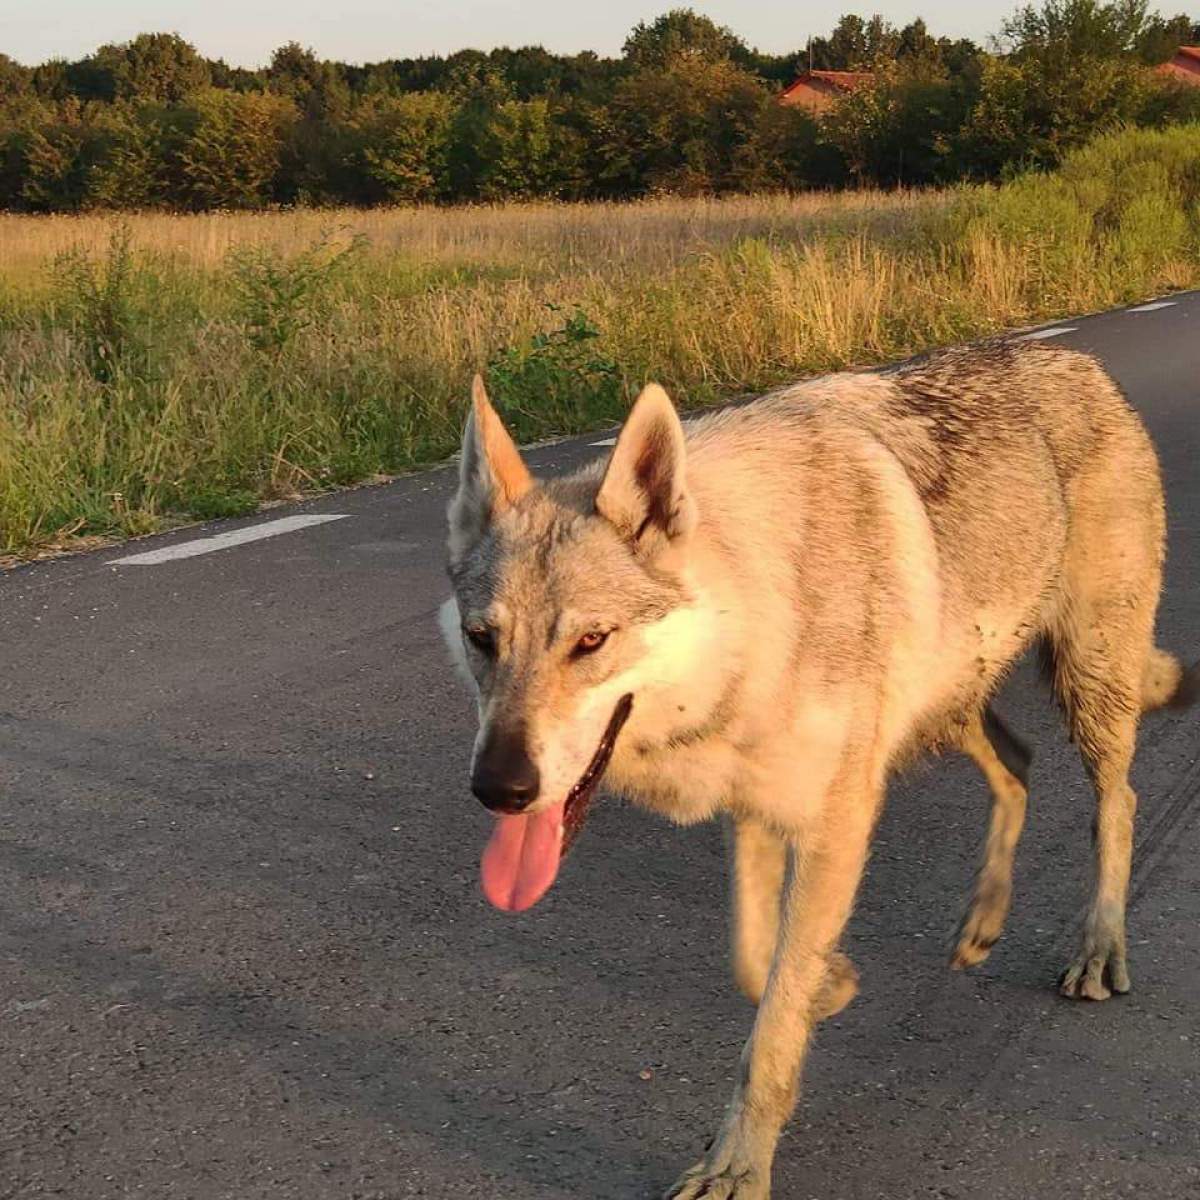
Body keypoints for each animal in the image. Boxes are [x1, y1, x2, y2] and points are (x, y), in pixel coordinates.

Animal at [441, 343, 1200, 1195]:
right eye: (482, 639)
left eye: (590, 642)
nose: (499, 789)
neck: (758, 603)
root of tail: (1073, 355)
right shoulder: (758, 810)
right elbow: (756, 960)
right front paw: (828, 986)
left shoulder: (836, 819)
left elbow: (772, 1015)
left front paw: (738, 1167)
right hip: (946, 711)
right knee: (1018, 763)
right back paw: (982, 922)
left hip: (1086, 683)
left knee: (1118, 803)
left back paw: (1099, 946)